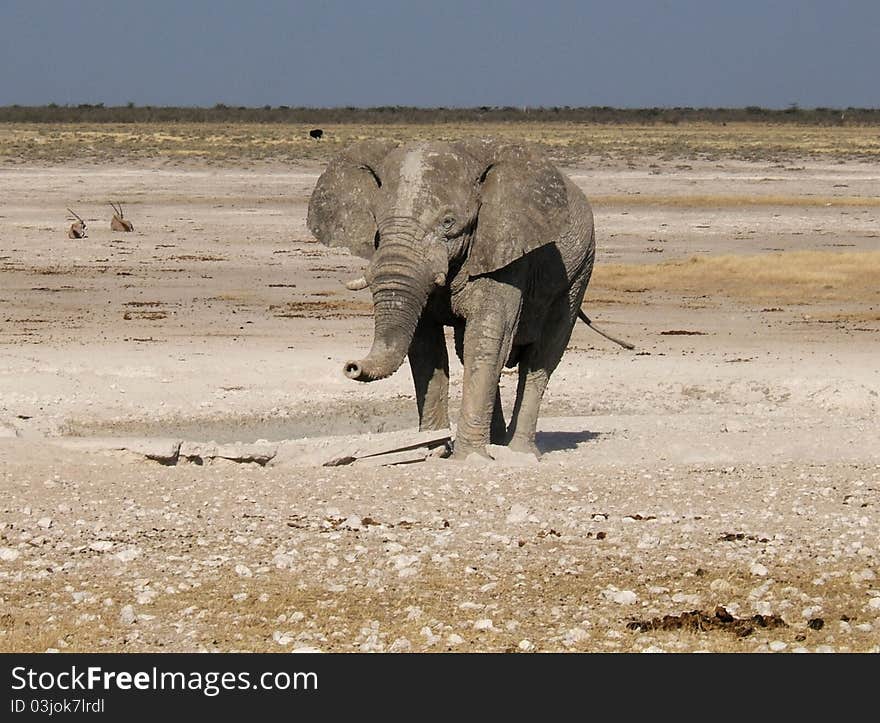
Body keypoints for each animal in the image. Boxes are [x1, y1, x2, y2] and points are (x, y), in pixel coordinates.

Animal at [306, 139, 596, 460]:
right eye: (377, 230)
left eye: (448, 222)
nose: (351, 367)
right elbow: (426, 347)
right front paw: (434, 450)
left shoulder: (507, 251)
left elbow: (487, 340)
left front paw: (469, 458)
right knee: (467, 350)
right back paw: (495, 443)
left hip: (579, 271)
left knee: (541, 357)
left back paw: (520, 453)